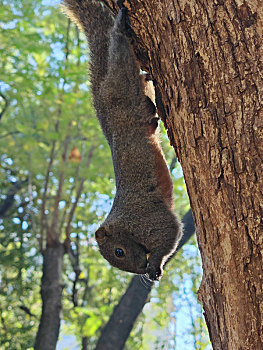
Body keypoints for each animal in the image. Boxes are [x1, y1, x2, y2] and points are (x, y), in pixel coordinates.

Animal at [61, 0, 184, 280]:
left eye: (119, 251)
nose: (139, 269)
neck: (124, 225)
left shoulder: (149, 220)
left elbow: (170, 231)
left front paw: (155, 265)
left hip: (121, 88)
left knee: (120, 56)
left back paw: (119, 27)